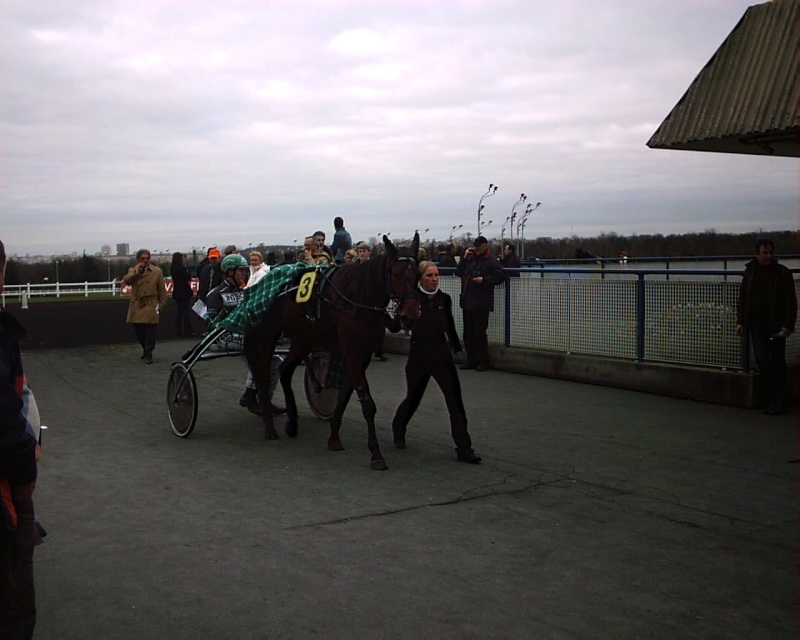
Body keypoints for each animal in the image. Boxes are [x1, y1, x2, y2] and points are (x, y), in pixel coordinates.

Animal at [245, 232, 422, 468]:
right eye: (396, 273)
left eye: (417, 274)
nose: (409, 316)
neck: (357, 297)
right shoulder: (352, 352)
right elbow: (367, 403)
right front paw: (376, 453)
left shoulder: (361, 354)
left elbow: (345, 394)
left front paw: (334, 437)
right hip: (267, 334)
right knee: (264, 374)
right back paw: (270, 426)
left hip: (304, 339)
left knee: (285, 371)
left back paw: (292, 423)